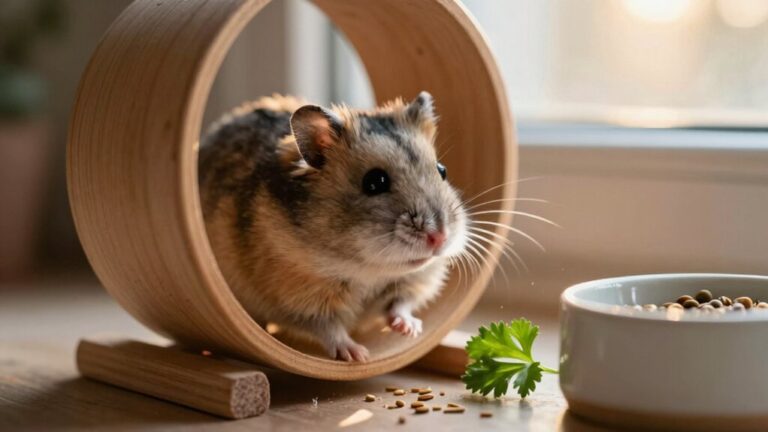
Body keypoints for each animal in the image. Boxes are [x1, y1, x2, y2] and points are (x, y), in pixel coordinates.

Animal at [198, 92, 467, 361]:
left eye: (442, 170)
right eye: (374, 181)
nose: (440, 237)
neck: (369, 269)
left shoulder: (414, 281)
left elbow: (400, 304)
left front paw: (410, 330)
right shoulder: (301, 298)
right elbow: (329, 328)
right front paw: (358, 355)